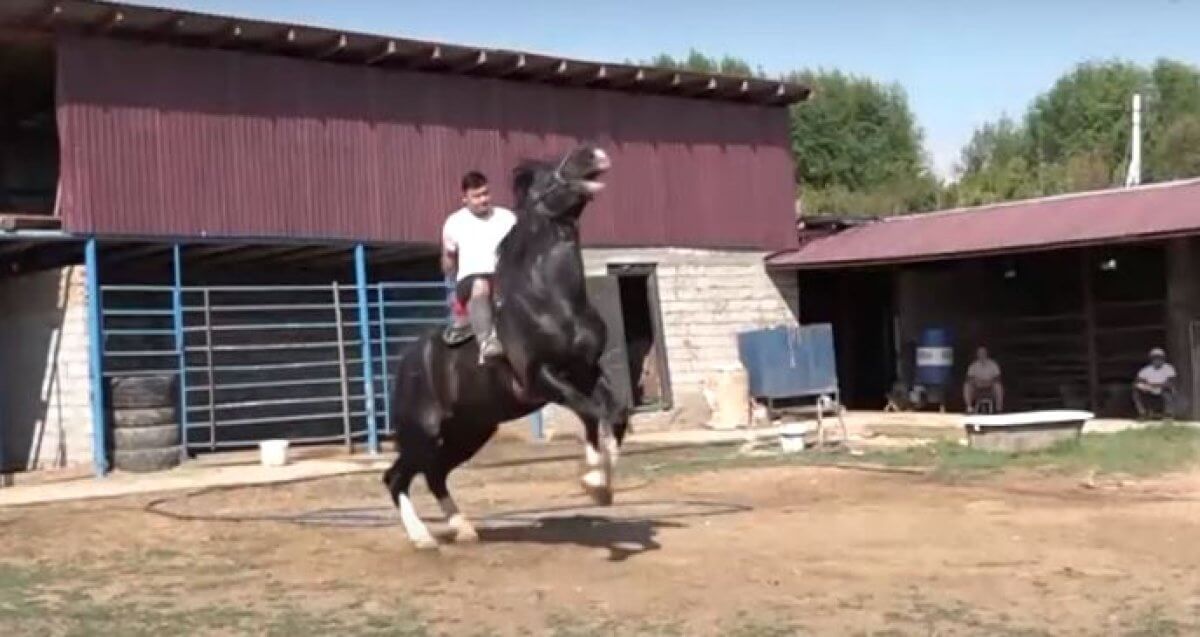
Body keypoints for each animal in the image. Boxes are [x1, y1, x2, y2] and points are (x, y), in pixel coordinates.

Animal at [381, 143, 628, 549]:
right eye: (545, 173)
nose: (593, 152)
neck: (551, 302)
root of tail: (407, 360)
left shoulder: (587, 370)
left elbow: (616, 412)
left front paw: (604, 480)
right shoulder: (541, 378)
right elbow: (591, 411)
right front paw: (594, 480)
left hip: (470, 431)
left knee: (435, 473)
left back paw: (463, 528)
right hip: (423, 431)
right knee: (396, 477)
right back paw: (422, 537)